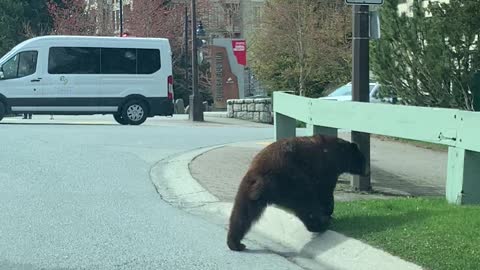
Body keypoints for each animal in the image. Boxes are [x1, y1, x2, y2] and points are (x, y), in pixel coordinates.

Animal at [227, 135, 370, 251]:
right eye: (364, 160)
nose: (367, 172)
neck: (339, 154)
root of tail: (262, 178)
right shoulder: (326, 169)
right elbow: (325, 191)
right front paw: (329, 213)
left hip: (247, 187)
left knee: (242, 213)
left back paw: (235, 243)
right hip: (293, 182)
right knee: (307, 204)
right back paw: (321, 224)